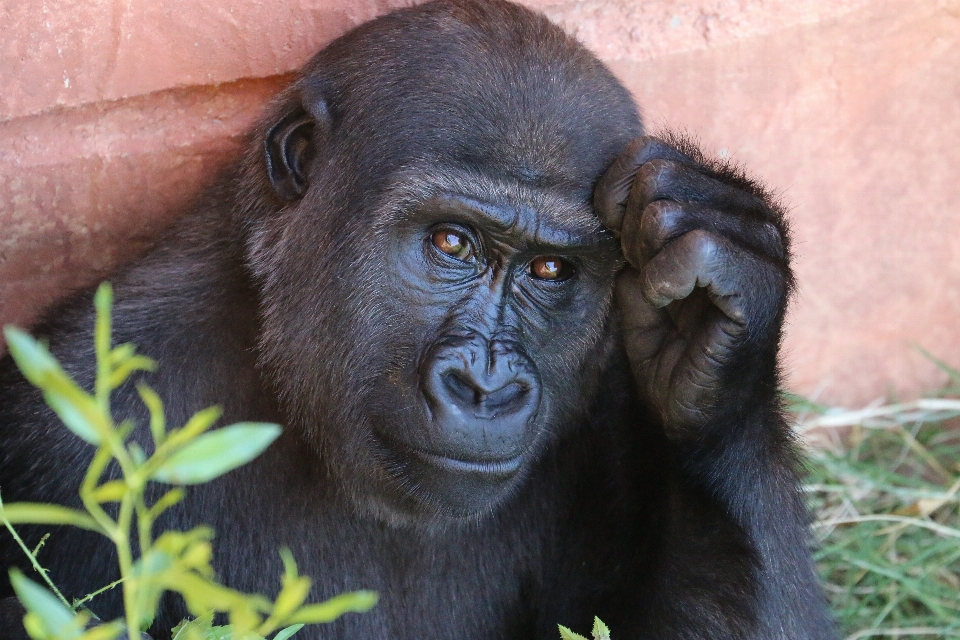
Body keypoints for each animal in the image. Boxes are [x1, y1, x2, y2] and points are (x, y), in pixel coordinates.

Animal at [0, 1, 832, 640]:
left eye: (550, 271)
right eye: (450, 243)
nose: (485, 386)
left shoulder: (614, 381)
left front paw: (715, 339)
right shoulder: (69, 428)